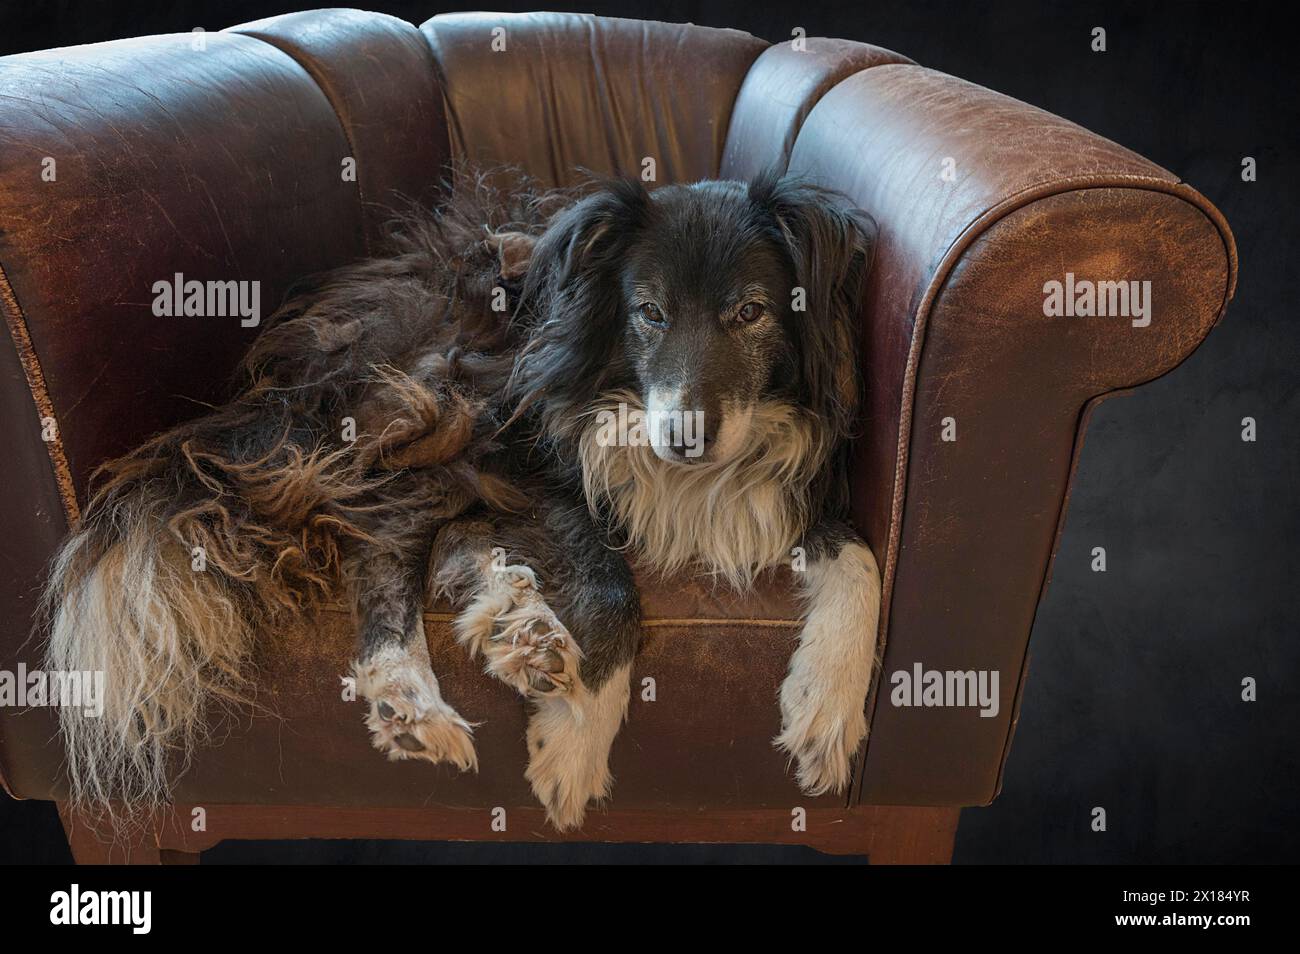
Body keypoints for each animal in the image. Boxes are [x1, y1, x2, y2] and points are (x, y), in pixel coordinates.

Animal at [45, 167, 889, 831]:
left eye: (751, 312)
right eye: (648, 312)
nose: (682, 439)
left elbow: (862, 558)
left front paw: (827, 711)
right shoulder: (527, 449)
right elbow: (609, 582)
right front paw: (577, 739)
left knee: (446, 542)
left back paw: (519, 626)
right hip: (444, 399)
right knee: (382, 543)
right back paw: (412, 694)